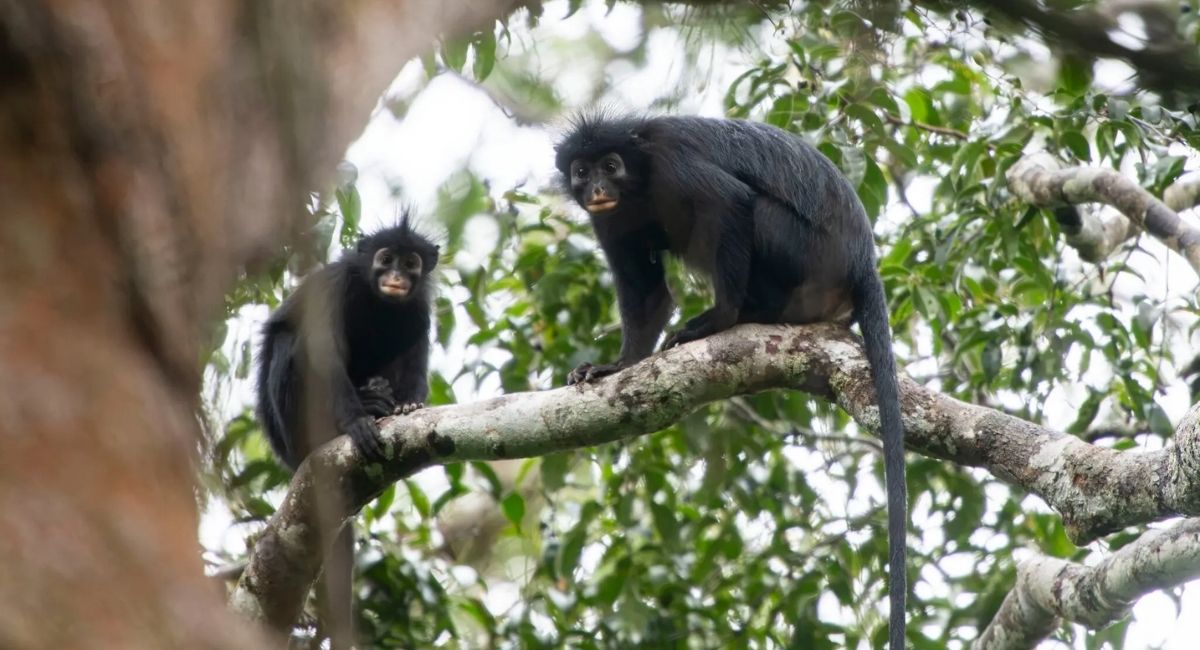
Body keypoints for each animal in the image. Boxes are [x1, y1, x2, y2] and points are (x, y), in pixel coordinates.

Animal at [255, 214, 438, 649]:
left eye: (410, 263)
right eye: (385, 258)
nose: (395, 277)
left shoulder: (419, 305)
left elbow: (416, 345)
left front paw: (408, 406)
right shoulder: (334, 287)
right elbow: (323, 352)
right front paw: (357, 422)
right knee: (291, 341)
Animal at [555, 114, 907, 648]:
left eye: (610, 166)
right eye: (582, 170)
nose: (596, 187)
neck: (639, 181)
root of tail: (861, 260)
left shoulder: (672, 163)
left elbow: (731, 203)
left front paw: (719, 319)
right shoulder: (610, 219)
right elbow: (646, 292)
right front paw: (616, 366)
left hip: (805, 253)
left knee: (752, 209)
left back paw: (745, 313)